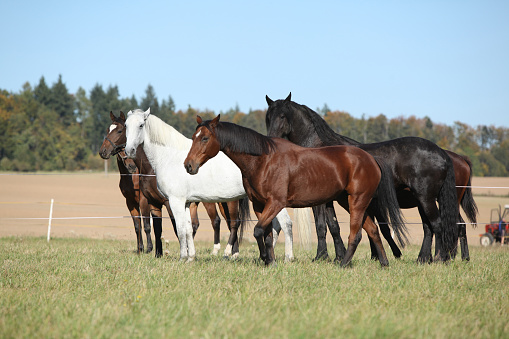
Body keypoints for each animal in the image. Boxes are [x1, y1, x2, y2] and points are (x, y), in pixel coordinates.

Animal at [98, 111, 249, 258]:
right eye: (108, 129)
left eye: (120, 130)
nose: (103, 151)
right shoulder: (148, 202)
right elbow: (152, 227)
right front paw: (156, 253)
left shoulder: (161, 201)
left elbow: (171, 227)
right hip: (223, 201)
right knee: (227, 223)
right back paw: (232, 252)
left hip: (224, 201)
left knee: (231, 222)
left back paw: (227, 253)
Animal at [124, 109, 298, 262]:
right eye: (125, 126)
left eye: (141, 125)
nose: (129, 150)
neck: (170, 157)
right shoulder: (186, 202)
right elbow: (188, 229)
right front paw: (190, 257)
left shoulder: (175, 201)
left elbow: (180, 229)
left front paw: (182, 258)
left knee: (285, 224)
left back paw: (286, 258)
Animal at [183, 115, 404, 266]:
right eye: (194, 137)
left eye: (205, 138)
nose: (188, 165)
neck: (264, 160)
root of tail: (371, 158)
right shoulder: (260, 205)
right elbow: (266, 233)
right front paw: (270, 261)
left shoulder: (276, 203)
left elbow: (258, 231)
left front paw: (266, 259)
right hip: (348, 202)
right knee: (373, 230)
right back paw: (384, 263)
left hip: (357, 201)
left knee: (356, 235)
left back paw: (343, 264)